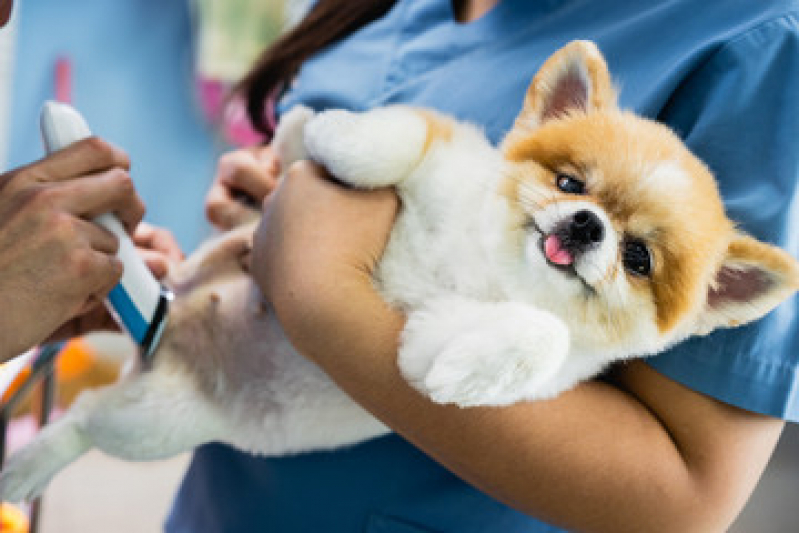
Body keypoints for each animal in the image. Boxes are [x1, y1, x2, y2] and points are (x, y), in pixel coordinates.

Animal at [3, 40, 796, 498]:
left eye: (638, 259)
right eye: (570, 183)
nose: (584, 225)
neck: (485, 268)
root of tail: (166, 325)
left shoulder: (460, 340)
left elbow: (532, 336)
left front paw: (464, 370)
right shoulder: (436, 152)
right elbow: (394, 135)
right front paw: (324, 131)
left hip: (152, 425)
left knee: (81, 419)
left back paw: (24, 467)